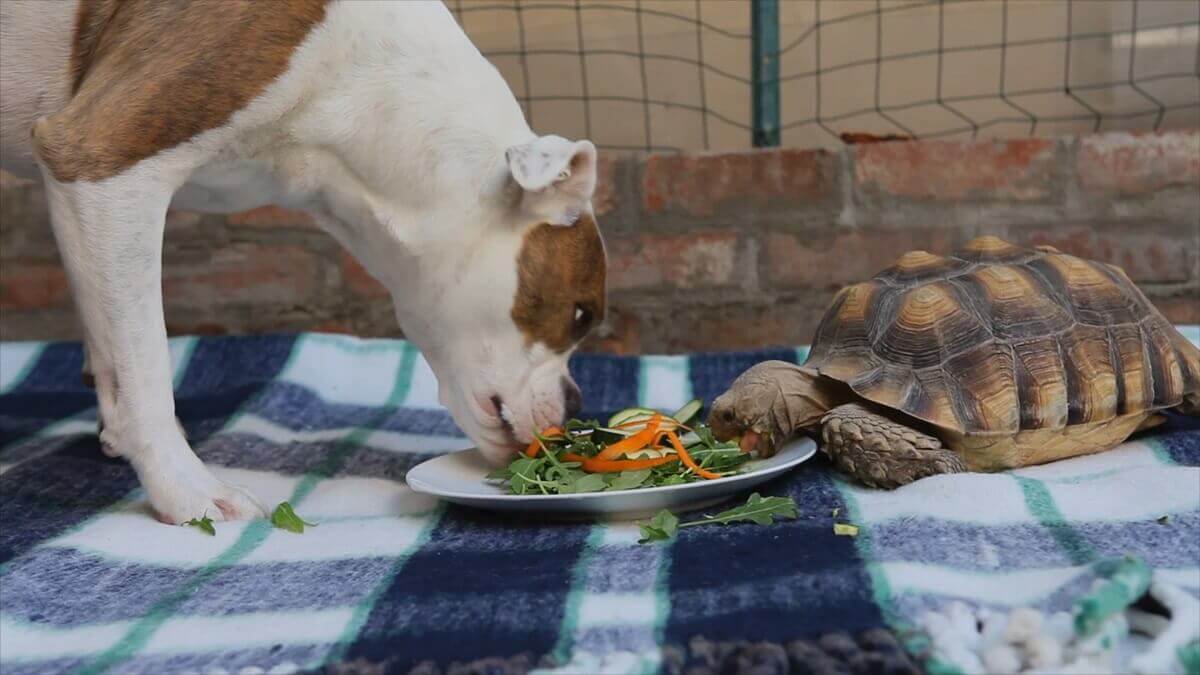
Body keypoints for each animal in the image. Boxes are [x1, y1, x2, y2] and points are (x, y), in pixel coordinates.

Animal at [0, 0, 607, 524]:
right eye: (581, 314)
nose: (575, 405)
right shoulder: (102, 163)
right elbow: (145, 366)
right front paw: (186, 489)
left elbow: (112, 352)